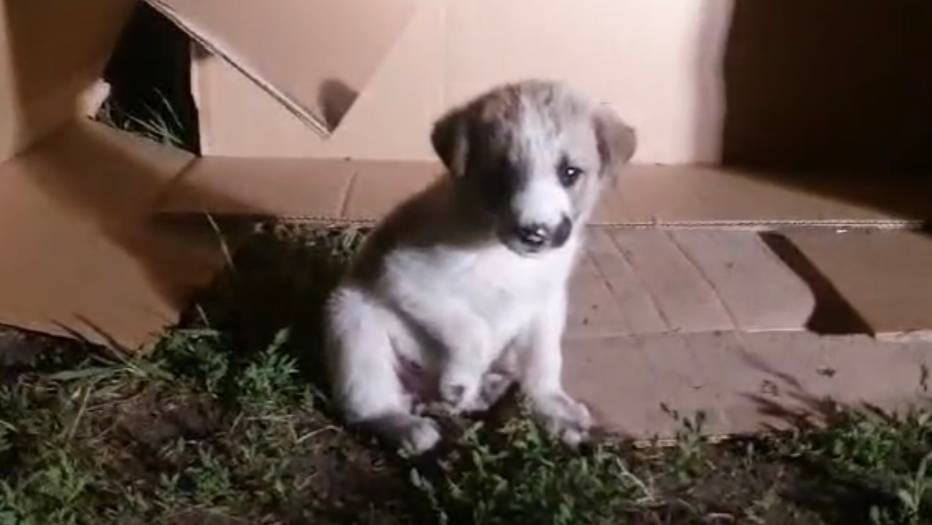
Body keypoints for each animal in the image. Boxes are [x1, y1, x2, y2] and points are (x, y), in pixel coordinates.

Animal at [324, 80, 636, 455]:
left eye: (569, 173)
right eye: (500, 175)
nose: (535, 233)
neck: (505, 256)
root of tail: (420, 393)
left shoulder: (546, 304)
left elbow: (544, 361)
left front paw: (551, 407)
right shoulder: (407, 276)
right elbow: (472, 329)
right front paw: (461, 378)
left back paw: (484, 390)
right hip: (353, 325)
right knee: (366, 406)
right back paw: (408, 424)